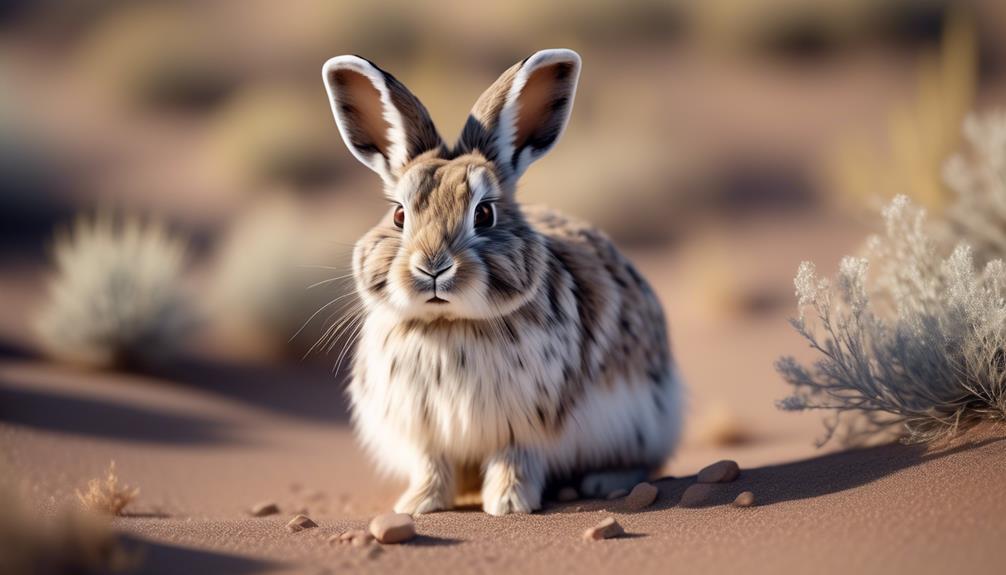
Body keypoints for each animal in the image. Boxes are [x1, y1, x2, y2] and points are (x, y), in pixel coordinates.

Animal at [321, 49, 684, 514]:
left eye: (484, 213)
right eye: (399, 215)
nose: (433, 267)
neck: (448, 326)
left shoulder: (523, 427)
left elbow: (515, 460)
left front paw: (509, 504)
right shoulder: (425, 433)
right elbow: (431, 466)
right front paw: (418, 505)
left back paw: (602, 481)